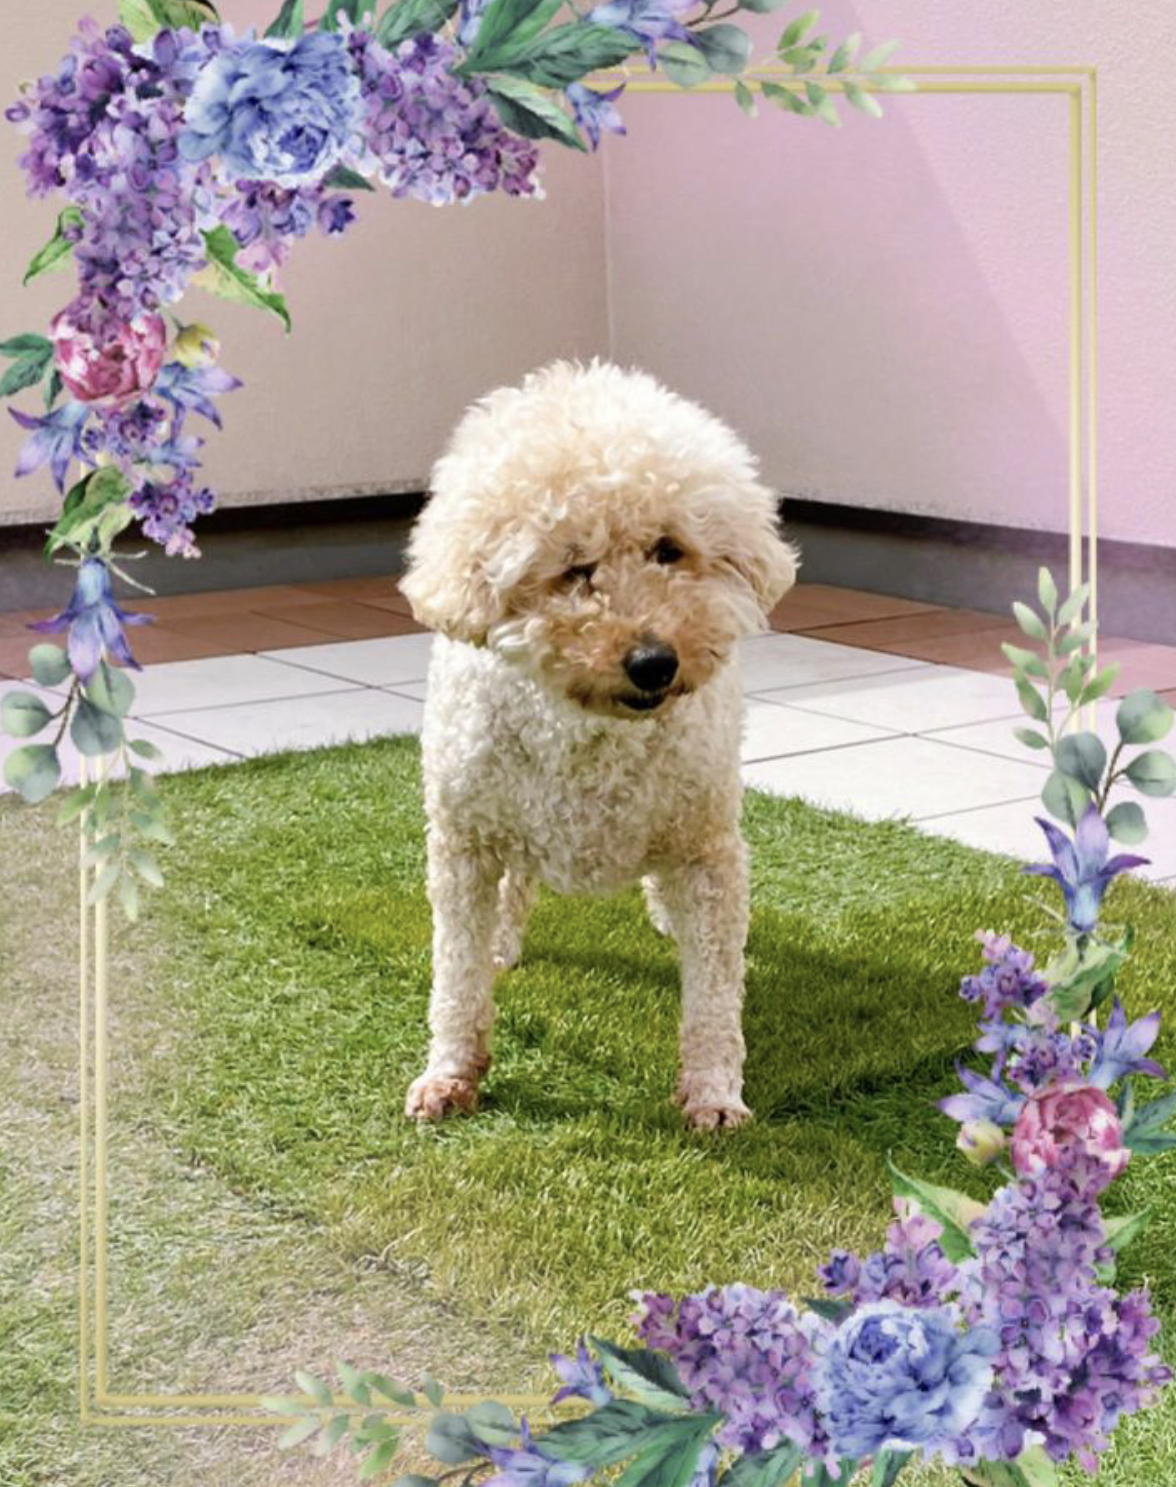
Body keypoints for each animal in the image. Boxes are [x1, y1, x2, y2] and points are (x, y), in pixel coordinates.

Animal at [399, 360, 798, 1129]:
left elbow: (714, 995)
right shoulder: (464, 843)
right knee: (512, 890)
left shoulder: (706, 846)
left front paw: (714, 1093)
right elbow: (456, 976)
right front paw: (451, 1075)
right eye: (574, 568)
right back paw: (504, 944)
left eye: (668, 550)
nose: (654, 662)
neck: (592, 734)